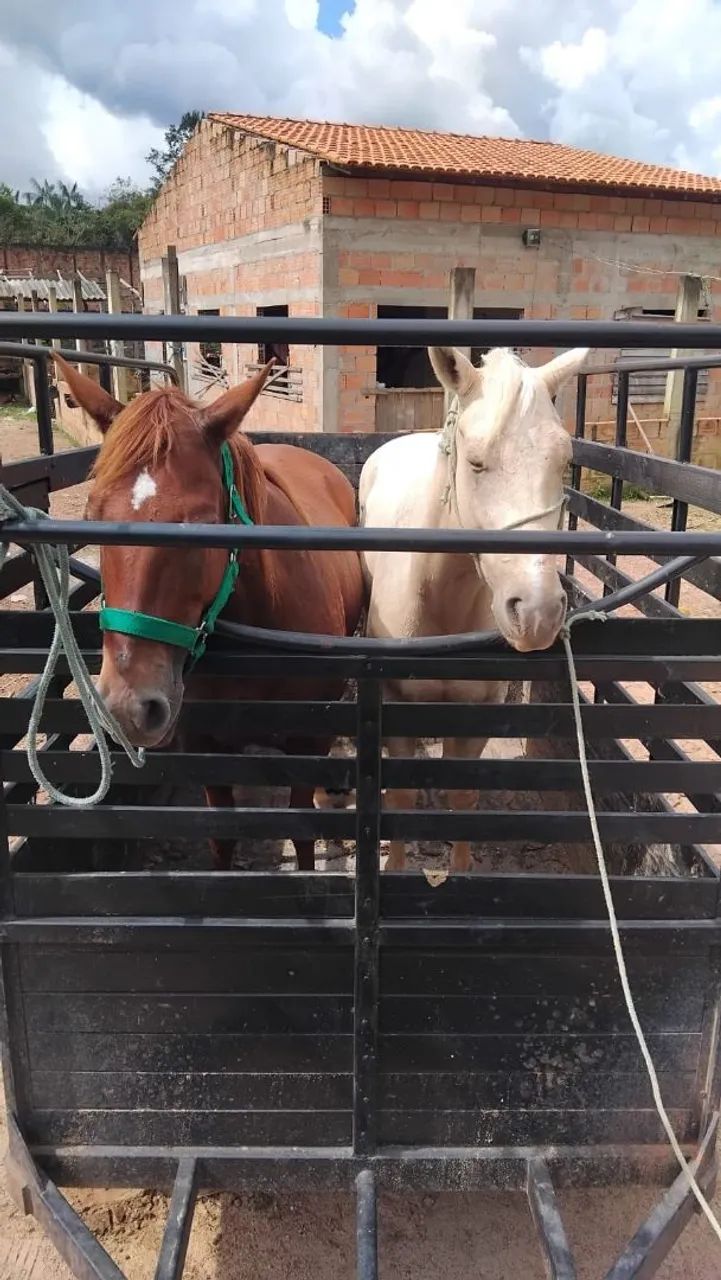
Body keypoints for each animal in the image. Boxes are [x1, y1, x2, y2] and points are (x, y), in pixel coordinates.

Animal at [54, 354, 366, 871]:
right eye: (91, 517)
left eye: (200, 523)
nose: (127, 708)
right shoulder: (205, 745)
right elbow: (220, 837)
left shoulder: (309, 742)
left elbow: (304, 836)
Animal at [359, 344, 589, 873]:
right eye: (477, 462)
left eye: (563, 461)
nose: (538, 613)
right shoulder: (397, 706)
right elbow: (399, 797)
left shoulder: (478, 709)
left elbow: (463, 796)